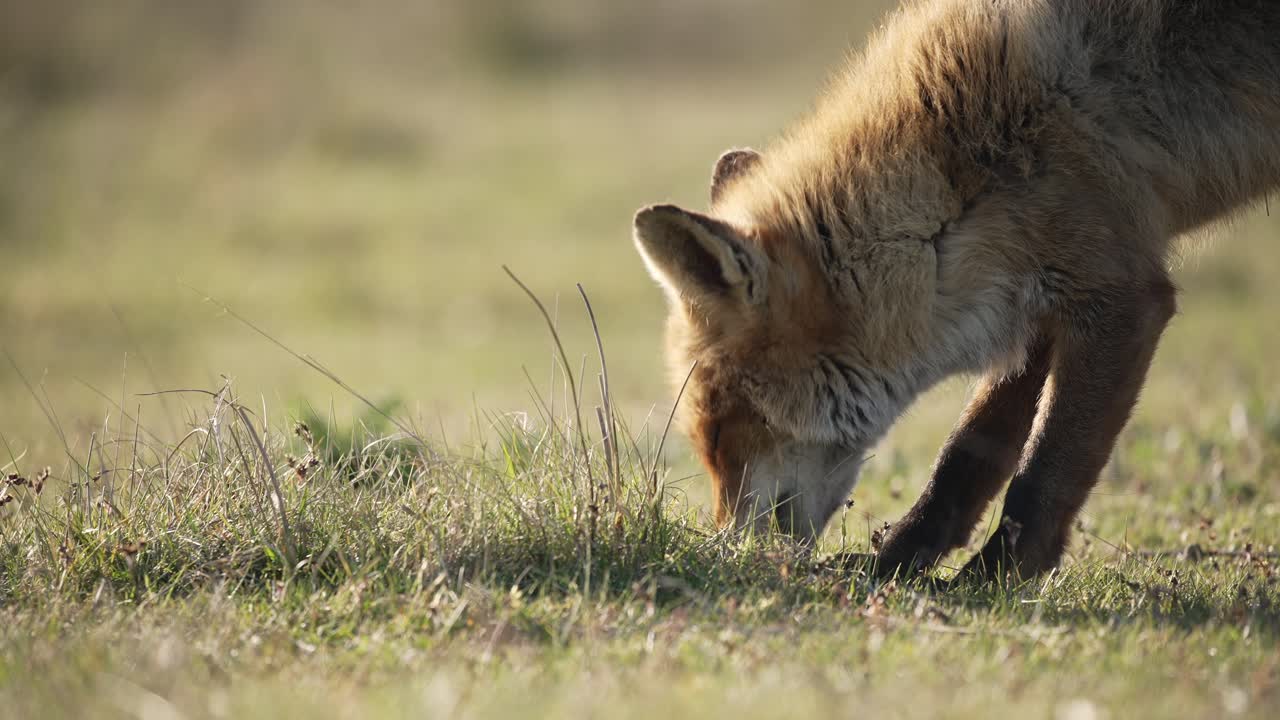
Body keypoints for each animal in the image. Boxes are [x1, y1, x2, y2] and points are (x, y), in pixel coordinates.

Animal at [632, 0, 1280, 581]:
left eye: (718, 433)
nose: (726, 554)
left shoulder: (1120, 295)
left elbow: (1047, 468)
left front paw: (993, 580)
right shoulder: (1029, 296)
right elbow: (972, 449)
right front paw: (900, 562)